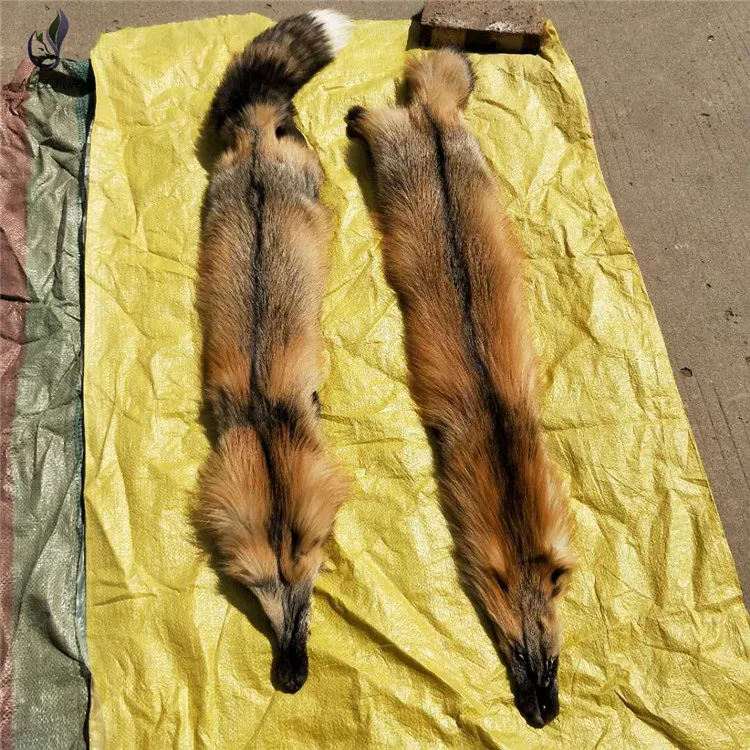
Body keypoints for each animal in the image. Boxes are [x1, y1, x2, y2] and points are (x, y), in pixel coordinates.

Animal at [346, 50, 576, 728]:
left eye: (551, 657)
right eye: (517, 652)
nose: (542, 715)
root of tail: (433, 119)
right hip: (391, 150)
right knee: (376, 118)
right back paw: (354, 118)